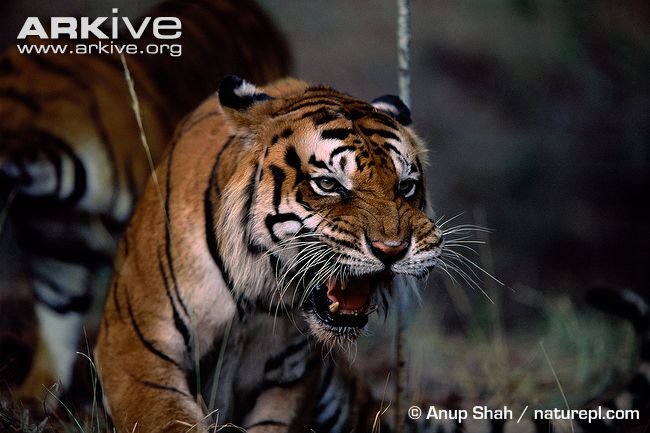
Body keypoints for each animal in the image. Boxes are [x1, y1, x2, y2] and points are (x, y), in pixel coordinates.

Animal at [93, 75, 644, 432]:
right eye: (328, 184)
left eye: (406, 187)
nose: (392, 250)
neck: (260, 297)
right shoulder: (137, 352)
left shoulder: (289, 382)